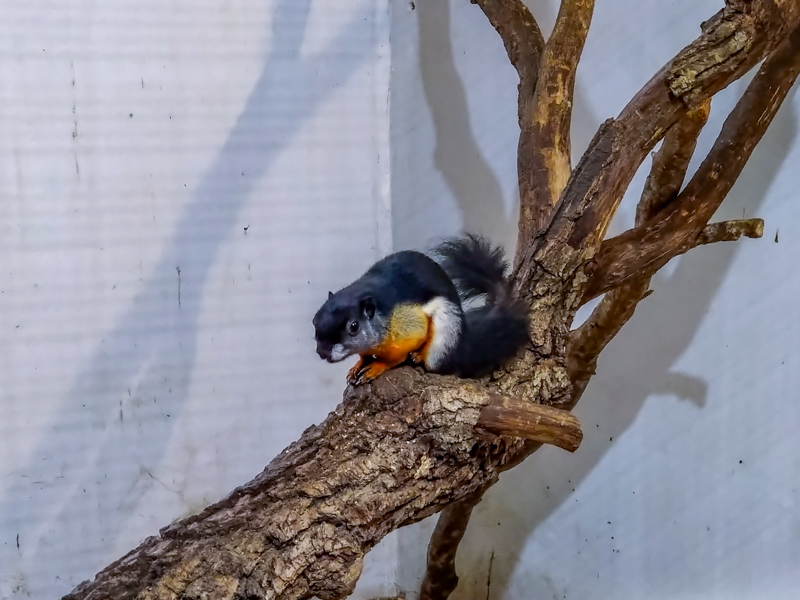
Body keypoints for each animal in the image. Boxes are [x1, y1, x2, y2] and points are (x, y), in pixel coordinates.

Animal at [312, 234, 529, 385]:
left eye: (354, 326)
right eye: (314, 320)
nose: (322, 353)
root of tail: (462, 345)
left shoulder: (408, 326)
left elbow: (397, 356)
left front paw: (376, 366)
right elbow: (363, 355)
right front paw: (357, 365)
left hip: (444, 338)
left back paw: (419, 356)